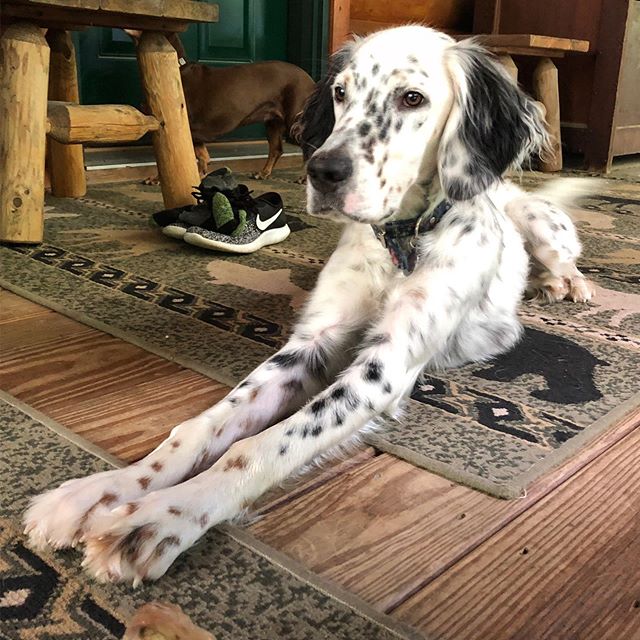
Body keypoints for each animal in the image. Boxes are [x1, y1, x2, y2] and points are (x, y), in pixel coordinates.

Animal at [25, 26, 596, 584]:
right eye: (341, 93)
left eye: (412, 98)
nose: (321, 171)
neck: (399, 242)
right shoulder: (309, 346)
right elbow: (203, 427)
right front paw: (99, 492)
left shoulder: (382, 370)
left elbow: (258, 447)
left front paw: (159, 519)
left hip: (540, 222)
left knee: (566, 257)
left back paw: (565, 284)